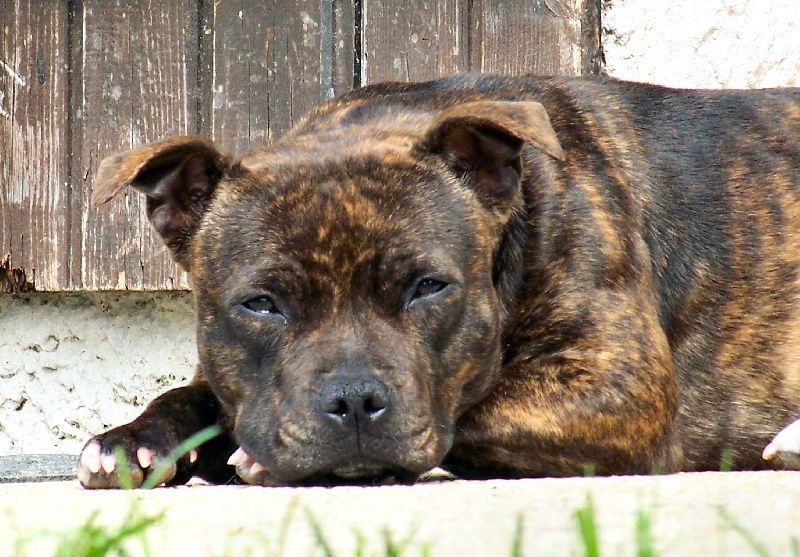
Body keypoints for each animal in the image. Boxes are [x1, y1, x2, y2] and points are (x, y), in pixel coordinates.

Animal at [78, 75, 800, 486]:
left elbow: (473, 407)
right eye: (261, 304)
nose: (354, 400)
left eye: (428, 287)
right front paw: (132, 441)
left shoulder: (620, 384)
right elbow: (190, 395)